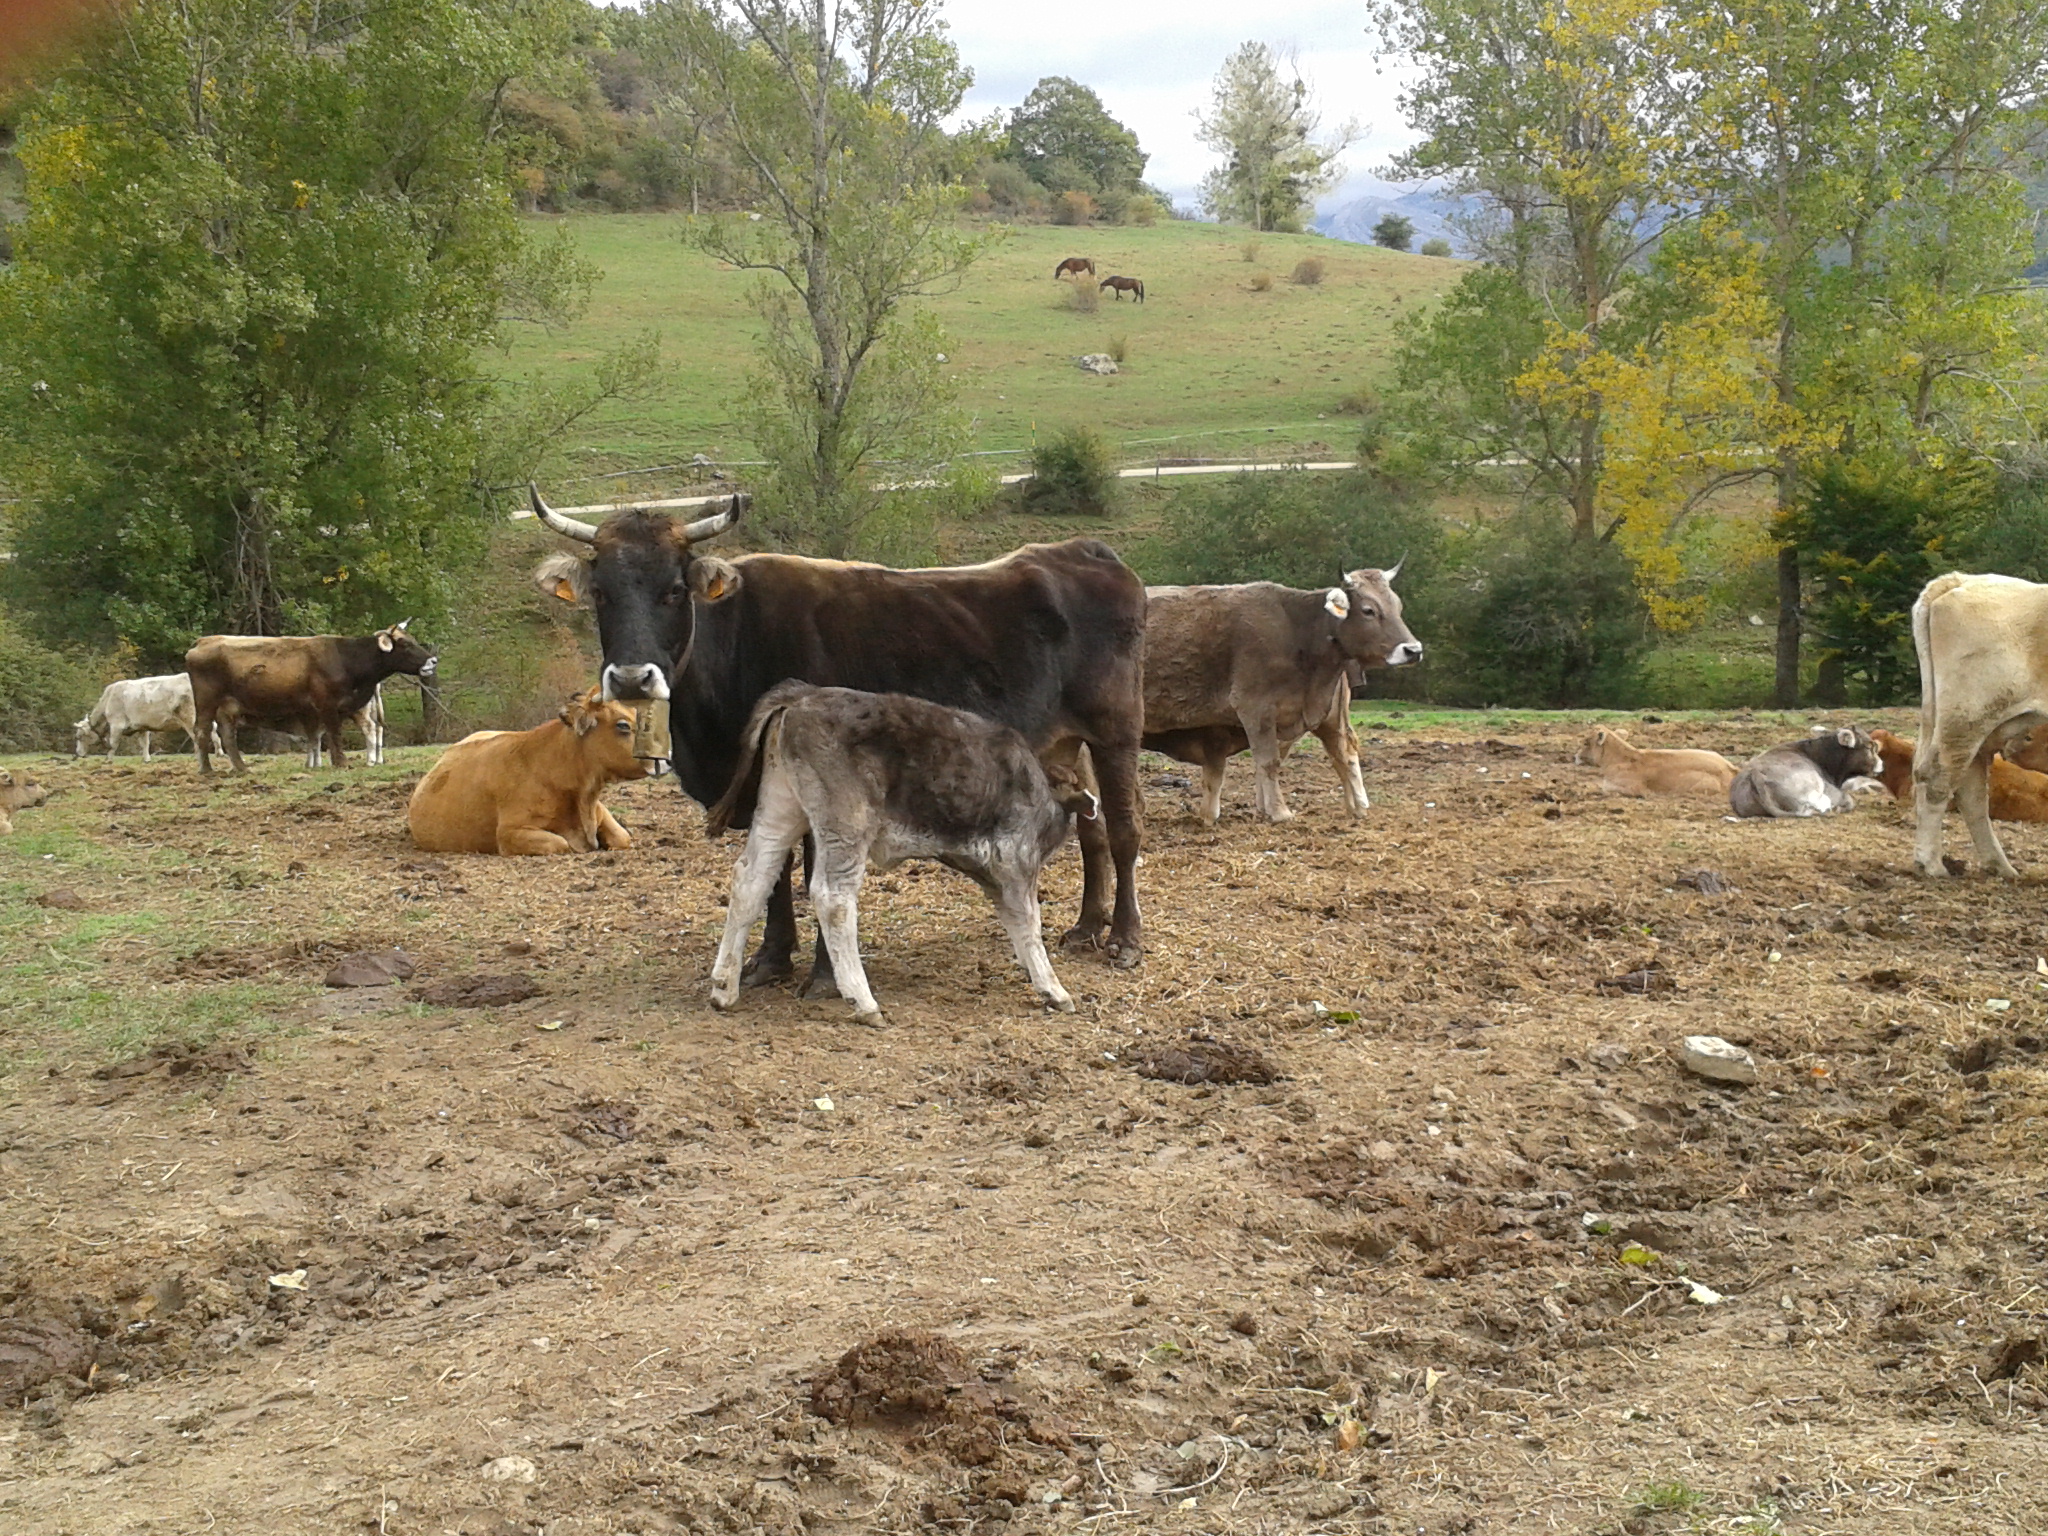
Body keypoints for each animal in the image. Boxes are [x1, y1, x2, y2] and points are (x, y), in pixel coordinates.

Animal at [74, 674, 220, 761]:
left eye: (79, 737)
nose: (78, 754)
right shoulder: (142, 727)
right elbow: (144, 743)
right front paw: (146, 759)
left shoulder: (117, 724)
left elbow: (113, 743)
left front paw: (108, 759)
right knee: (214, 734)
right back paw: (219, 753)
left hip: (190, 718)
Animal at [185, 622, 435, 775]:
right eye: (405, 644)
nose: (432, 661)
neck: (345, 658)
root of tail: (203, 642)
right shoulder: (327, 705)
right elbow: (334, 733)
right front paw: (341, 762)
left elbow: (320, 737)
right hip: (206, 701)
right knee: (202, 730)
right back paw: (207, 770)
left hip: (227, 708)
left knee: (228, 736)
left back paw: (242, 768)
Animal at [706, 684, 1100, 1022]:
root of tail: (802, 696)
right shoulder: (1016, 864)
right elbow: (1030, 925)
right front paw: (1054, 990)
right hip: (845, 826)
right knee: (833, 898)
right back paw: (863, 1001)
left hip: (780, 808)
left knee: (751, 879)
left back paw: (724, 988)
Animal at [1140, 569, 1421, 822]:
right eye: (1368, 610)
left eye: (1397, 606)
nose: (1413, 650)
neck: (1297, 629)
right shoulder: (1255, 708)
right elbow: (1268, 762)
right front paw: (1279, 811)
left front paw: (1272, 810)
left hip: (1332, 718)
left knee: (1343, 752)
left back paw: (1357, 807)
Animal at [1908, 572, 2048, 876]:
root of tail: (1962, 579)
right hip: (1968, 716)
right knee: (1939, 778)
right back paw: (1932, 863)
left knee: (1969, 791)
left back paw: (2001, 867)